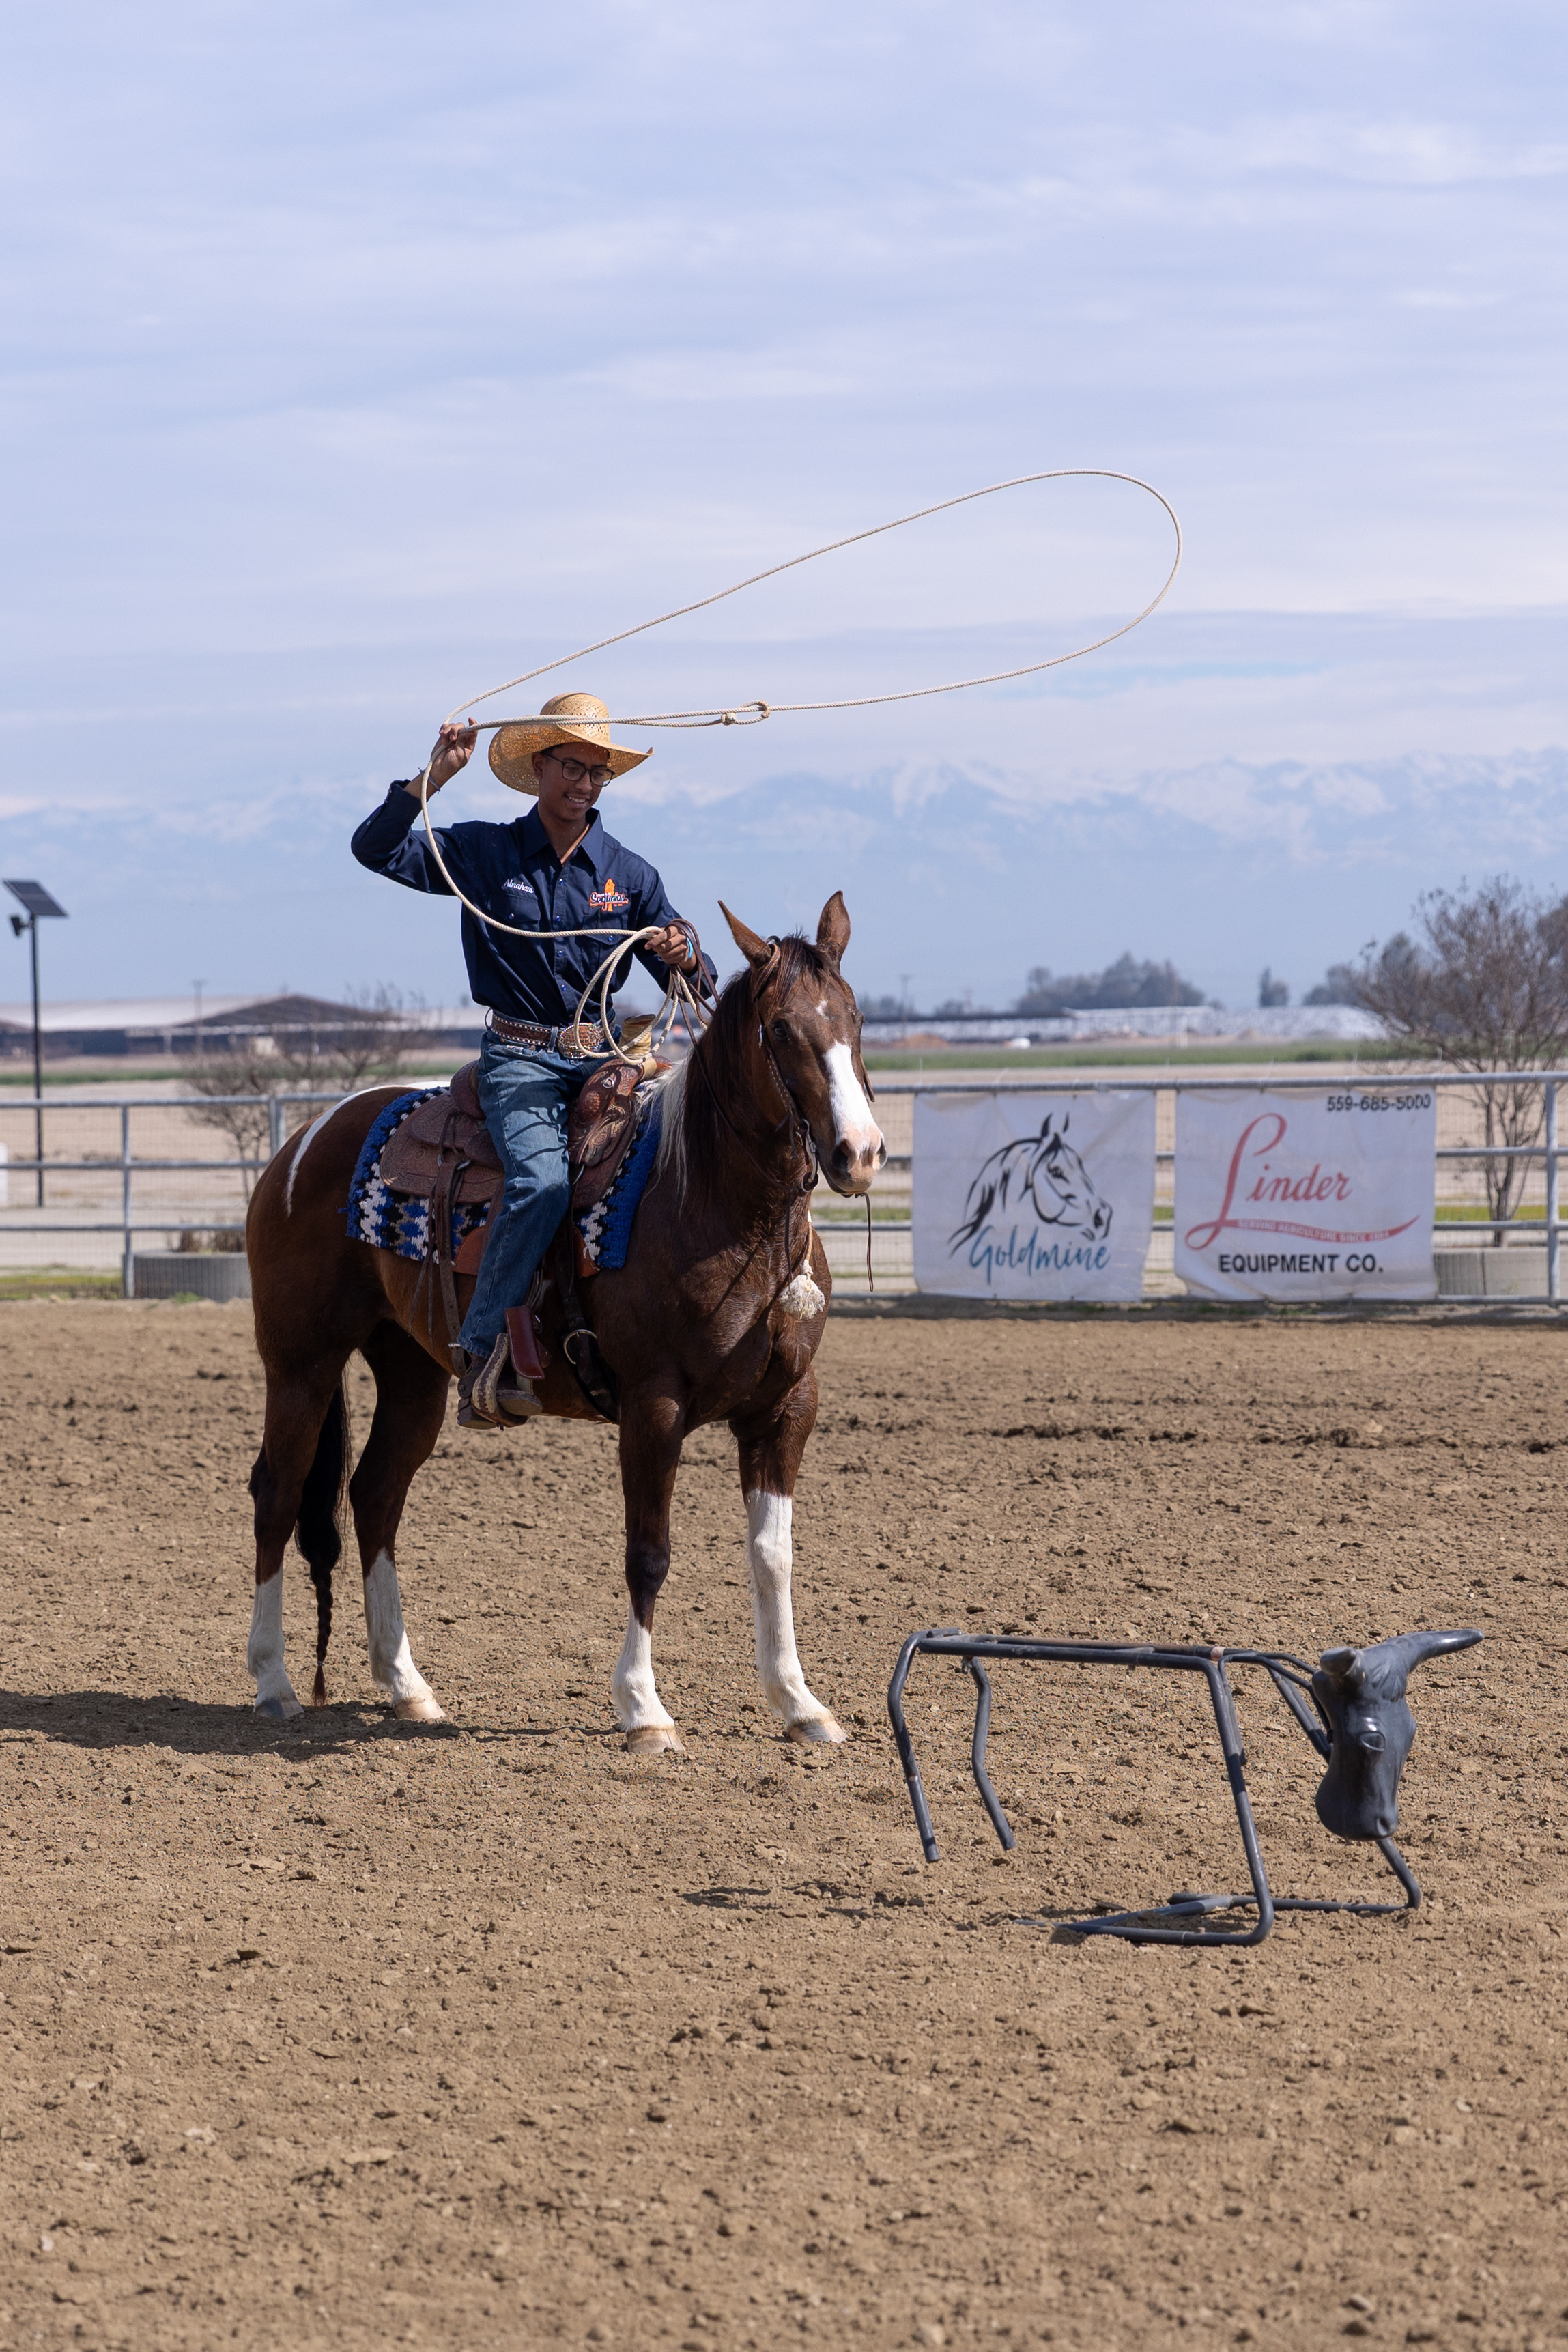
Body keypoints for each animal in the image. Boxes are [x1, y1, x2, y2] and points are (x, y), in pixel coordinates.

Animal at [242, 892, 885, 1753]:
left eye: (853, 1017)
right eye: (780, 1028)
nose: (859, 1152)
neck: (708, 1198)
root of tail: (303, 1142)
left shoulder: (785, 1408)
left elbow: (772, 1555)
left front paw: (799, 1701)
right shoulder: (653, 1407)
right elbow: (649, 1553)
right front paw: (643, 1709)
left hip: (411, 1371)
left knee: (375, 1494)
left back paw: (408, 1687)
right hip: (300, 1363)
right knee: (277, 1494)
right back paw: (274, 1682)